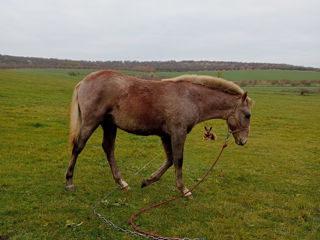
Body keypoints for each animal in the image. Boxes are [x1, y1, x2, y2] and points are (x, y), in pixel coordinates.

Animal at [65, 70, 252, 199]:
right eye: (248, 115)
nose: (243, 141)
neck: (191, 98)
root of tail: (84, 81)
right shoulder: (178, 133)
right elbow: (178, 160)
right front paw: (184, 190)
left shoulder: (166, 135)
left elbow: (169, 160)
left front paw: (147, 181)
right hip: (91, 122)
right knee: (78, 147)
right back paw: (69, 182)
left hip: (109, 125)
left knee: (108, 149)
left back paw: (122, 183)